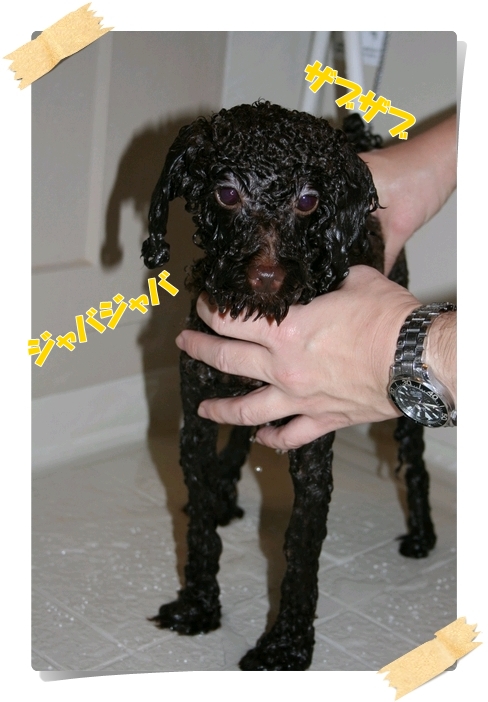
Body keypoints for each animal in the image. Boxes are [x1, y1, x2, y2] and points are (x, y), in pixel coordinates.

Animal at [141, 101, 436, 670]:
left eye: (307, 200)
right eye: (226, 193)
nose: (266, 278)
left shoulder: (313, 451)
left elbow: (300, 553)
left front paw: (286, 645)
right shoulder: (196, 422)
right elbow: (200, 528)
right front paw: (198, 604)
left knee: (413, 459)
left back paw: (421, 533)